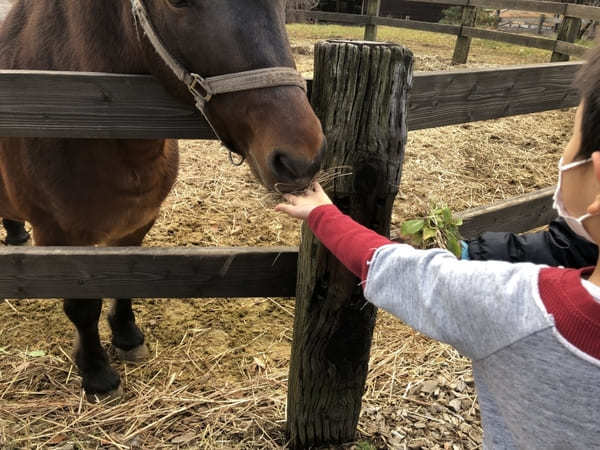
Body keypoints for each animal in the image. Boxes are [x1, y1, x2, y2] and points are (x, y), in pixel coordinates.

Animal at [0, 0, 326, 398]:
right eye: (178, 2)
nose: (300, 159)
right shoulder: (58, 237)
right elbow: (82, 305)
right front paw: (96, 372)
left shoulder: (139, 220)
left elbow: (126, 279)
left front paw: (126, 336)